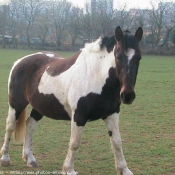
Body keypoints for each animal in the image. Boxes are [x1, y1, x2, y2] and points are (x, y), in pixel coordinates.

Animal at [0, 26, 143, 175]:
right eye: (118, 57)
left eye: (139, 57)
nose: (127, 95)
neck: (95, 76)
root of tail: (19, 62)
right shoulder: (79, 116)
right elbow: (74, 143)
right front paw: (68, 169)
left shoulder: (112, 114)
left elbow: (117, 142)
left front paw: (124, 169)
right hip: (16, 104)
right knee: (10, 126)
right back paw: (5, 158)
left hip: (39, 106)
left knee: (30, 125)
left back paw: (30, 159)